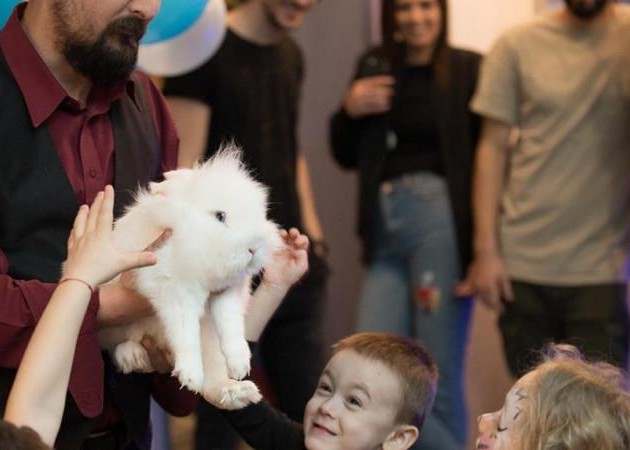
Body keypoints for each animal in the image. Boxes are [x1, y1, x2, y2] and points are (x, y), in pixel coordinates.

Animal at [99, 146, 282, 409]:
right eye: (220, 216)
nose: (254, 248)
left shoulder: (227, 295)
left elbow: (231, 325)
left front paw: (240, 363)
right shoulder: (175, 294)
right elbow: (185, 334)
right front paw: (191, 375)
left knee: (213, 382)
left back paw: (237, 391)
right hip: (115, 328)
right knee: (117, 345)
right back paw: (133, 356)